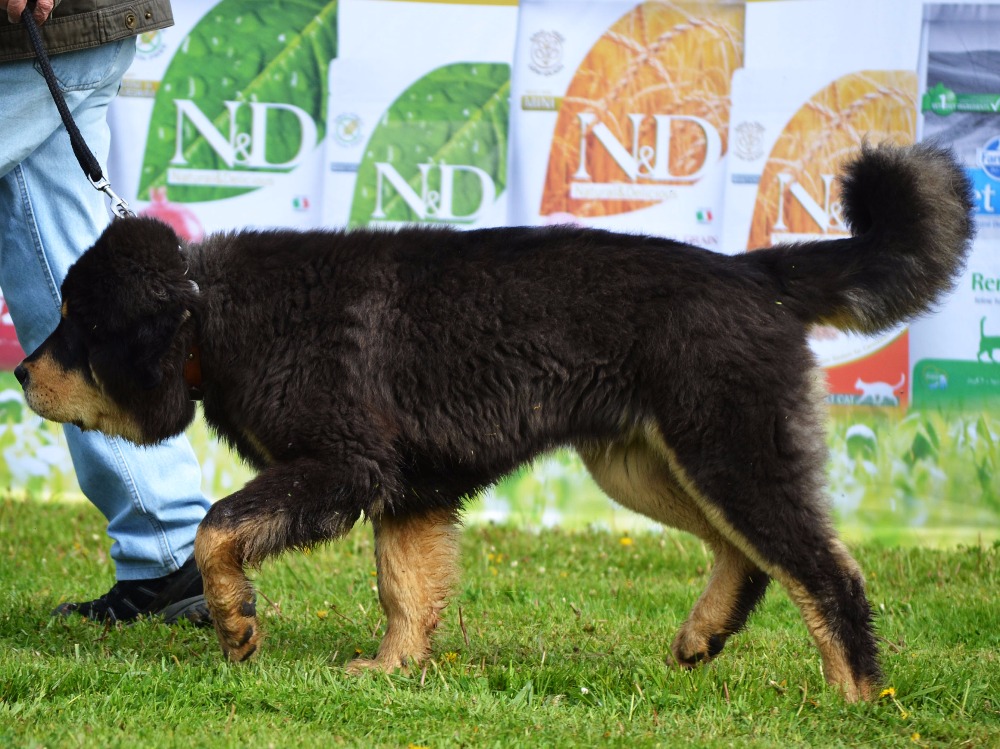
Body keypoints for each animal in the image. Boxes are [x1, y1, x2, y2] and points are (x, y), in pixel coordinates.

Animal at [15, 143, 972, 700]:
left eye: (78, 324)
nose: (21, 370)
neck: (210, 313)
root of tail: (755, 273)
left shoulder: (345, 464)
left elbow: (218, 527)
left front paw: (236, 622)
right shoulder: (405, 487)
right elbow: (406, 588)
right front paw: (393, 671)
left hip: (727, 446)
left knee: (827, 569)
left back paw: (858, 698)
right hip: (647, 460)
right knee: (748, 552)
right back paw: (707, 633)